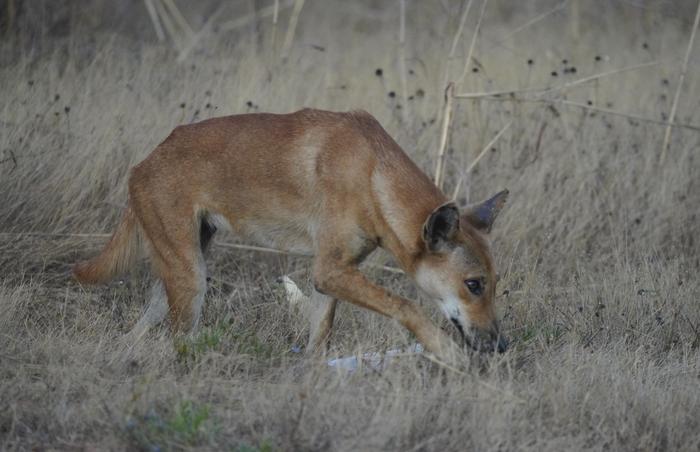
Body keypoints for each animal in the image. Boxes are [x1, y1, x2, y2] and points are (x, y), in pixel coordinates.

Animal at [75, 110, 508, 364]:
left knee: (146, 327)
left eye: (494, 285)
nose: (502, 345)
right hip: (192, 279)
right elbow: (407, 306)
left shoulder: (334, 274)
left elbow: (320, 338)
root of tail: (143, 164)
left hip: (181, 269)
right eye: (473, 285)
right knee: (180, 341)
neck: (373, 174)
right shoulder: (330, 271)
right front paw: (444, 351)